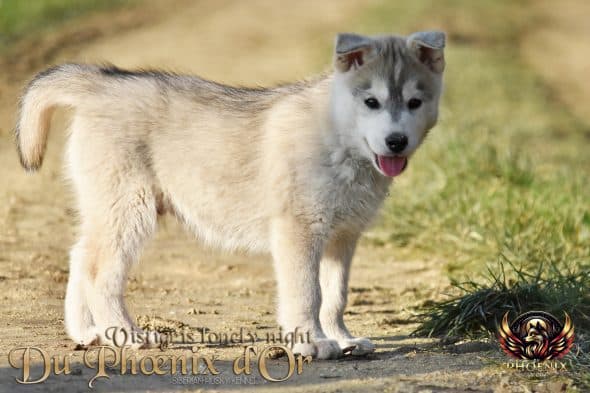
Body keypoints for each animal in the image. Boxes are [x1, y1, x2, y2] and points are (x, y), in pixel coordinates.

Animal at [16, 32, 446, 358]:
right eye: (371, 102)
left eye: (415, 103)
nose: (396, 142)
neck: (339, 139)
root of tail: (102, 83)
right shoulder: (299, 232)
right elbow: (307, 293)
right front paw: (311, 344)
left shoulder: (342, 238)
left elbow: (335, 296)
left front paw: (342, 339)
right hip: (129, 211)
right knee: (100, 274)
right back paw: (125, 335)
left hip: (108, 210)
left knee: (80, 258)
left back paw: (86, 333)